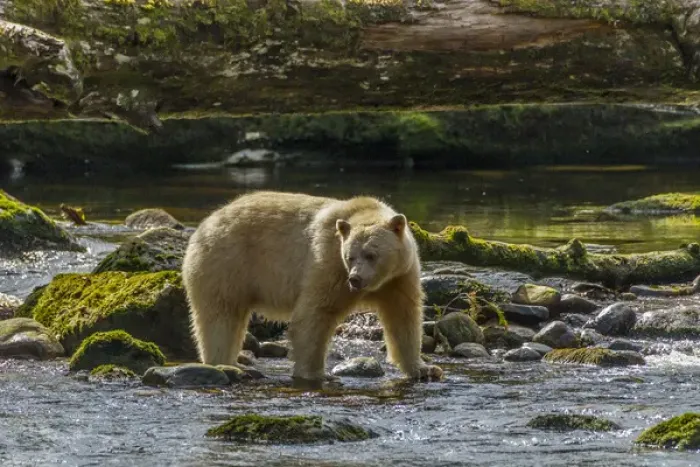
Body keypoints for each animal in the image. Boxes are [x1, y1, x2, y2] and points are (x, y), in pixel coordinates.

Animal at [181, 190, 443, 384]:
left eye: (371, 254)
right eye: (350, 256)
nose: (356, 279)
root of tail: (206, 222)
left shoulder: (399, 277)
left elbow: (404, 317)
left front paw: (424, 368)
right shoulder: (328, 262)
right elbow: (315, 313)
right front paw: (317, 373)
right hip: (226, 263)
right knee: (220, 316)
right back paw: (225, 363)